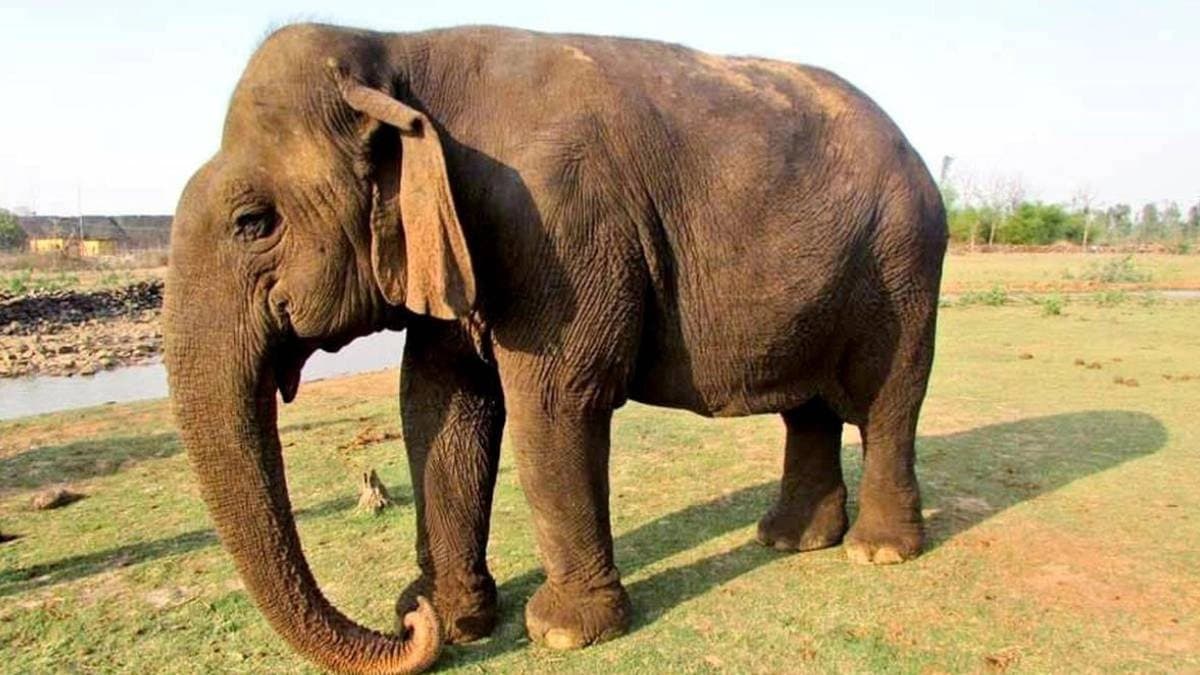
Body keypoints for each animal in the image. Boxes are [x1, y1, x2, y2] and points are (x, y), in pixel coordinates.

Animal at [164, 22, 946, 674]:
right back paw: (788, 540)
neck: (398, 51)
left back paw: (876, 551)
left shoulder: (560, 227)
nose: (407, 621)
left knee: (890, 400)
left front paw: (563, 632)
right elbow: (439, 405)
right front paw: (456, 618)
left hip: (906, 263)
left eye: (253, 222)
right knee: (808, 408)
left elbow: (553, 401)